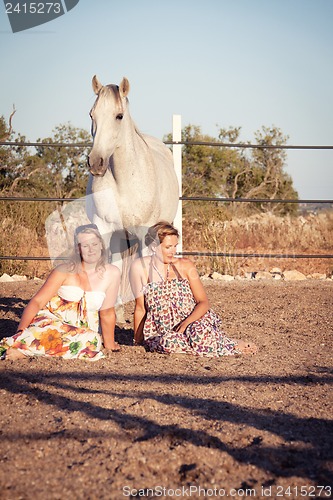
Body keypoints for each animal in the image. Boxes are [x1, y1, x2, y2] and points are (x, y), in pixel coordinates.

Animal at [85, 73, 179, 298]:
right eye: (92, 115)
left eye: (119, 116)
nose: (95, 162)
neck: (124, 183)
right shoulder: (105, 228)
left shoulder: (146, 234)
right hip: (120, 237)